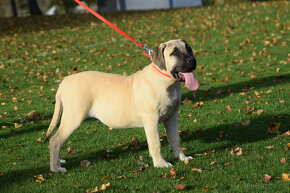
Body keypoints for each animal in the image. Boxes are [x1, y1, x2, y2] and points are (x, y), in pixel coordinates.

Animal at [46, 39, 199, 172]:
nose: (192, 60)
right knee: (55, 140)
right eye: (174, 52)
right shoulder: (151, 120)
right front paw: (161, 164)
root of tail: (65, 81)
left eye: (189, 48)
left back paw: (59, 161)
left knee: (57, 138)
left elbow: (175, 139)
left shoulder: (172, 117)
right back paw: (56, 168)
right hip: (74, 117)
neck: (167, 81)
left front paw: (183, 158)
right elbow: (156, 143)